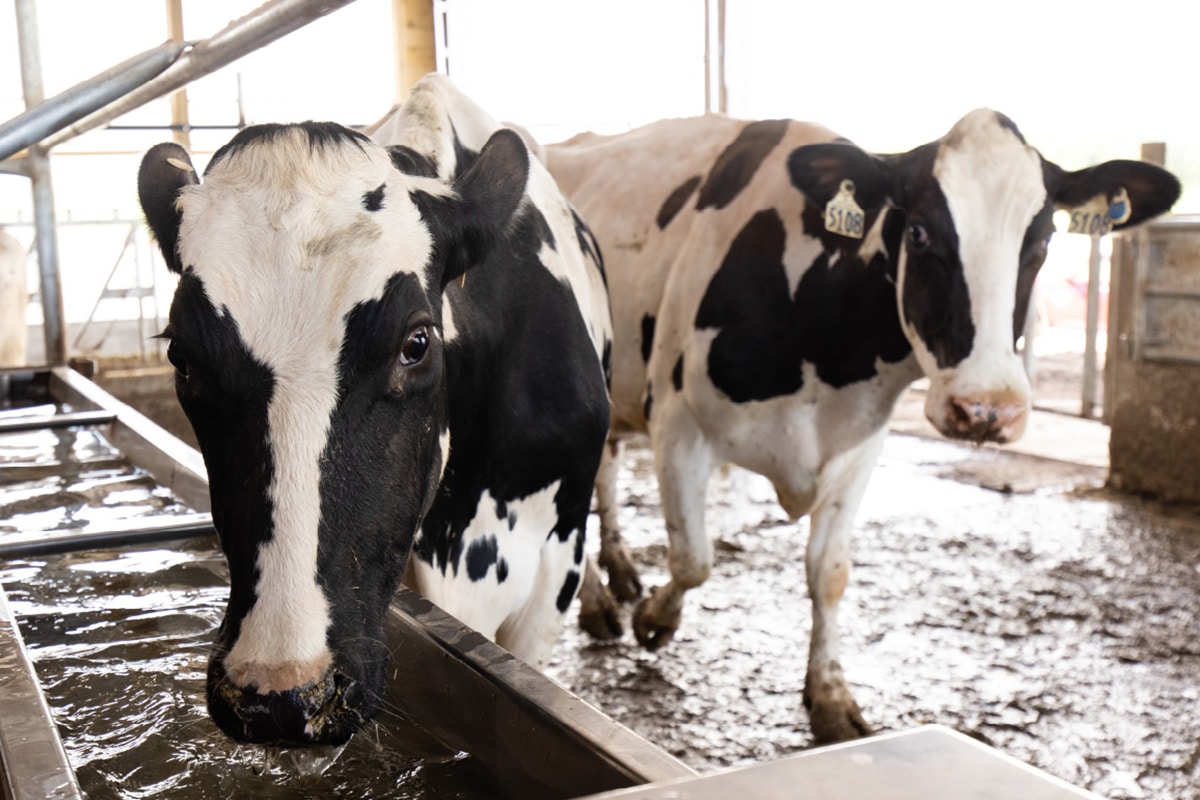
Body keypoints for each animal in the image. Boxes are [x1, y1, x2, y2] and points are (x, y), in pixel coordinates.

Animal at [544, 109, 1179, 745]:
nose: (987, 409)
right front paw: (656, 617)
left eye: (1043, 239)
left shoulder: (858, 447)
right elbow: (692, 558)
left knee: (605, 474)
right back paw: (599, 602)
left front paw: (829, 696)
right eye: (919, 233)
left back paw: (620, 571)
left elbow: (830, 574)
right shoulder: (679, 426)